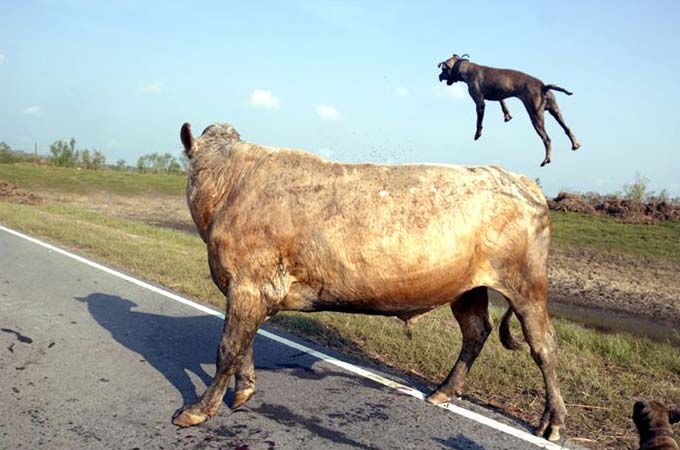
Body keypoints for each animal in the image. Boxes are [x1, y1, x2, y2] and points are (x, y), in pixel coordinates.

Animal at [173, 121, 564, 442]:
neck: (230, 185)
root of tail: (518, 179)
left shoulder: (249, 283)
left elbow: (229, 347)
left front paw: (197, 411)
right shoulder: (249, 288)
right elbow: (244, 344)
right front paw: (243, 391)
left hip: (526, 284)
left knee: (543, 344)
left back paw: (553, 422)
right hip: (468, 288)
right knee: (476, 331)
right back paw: (443, 391)